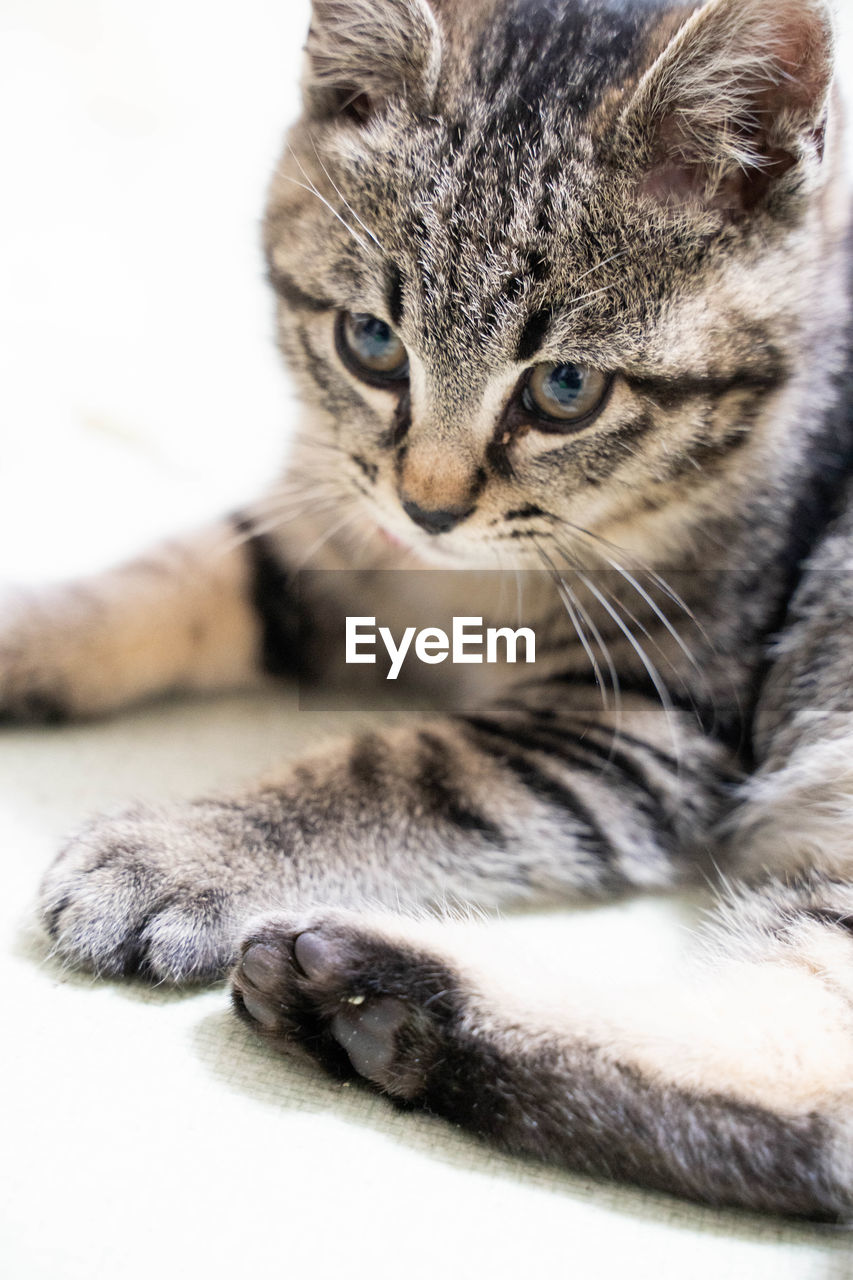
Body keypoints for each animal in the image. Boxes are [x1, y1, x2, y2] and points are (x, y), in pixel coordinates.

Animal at [9, 0, 850, 1218]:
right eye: (370, 343)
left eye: (564, 391)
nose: (429, 505)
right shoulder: (326, 529)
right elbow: (173, 578)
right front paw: (29, 625)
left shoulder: (643, 724)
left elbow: (402, 767)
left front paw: (182, 853)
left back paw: (387, 995)